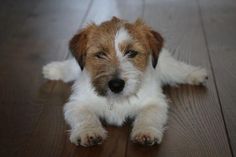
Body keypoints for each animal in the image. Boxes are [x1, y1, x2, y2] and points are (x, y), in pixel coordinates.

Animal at [42, 16, 206, 147]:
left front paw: (146, 132)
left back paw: (197, 74)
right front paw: (88, 132)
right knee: (72, 66)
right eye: (100, 54)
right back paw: (53, 69)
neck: (117, 100)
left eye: (131, 53)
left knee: (179, 69)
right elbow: (85, 116)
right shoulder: (77, 103)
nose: (116, 85)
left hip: (167, 66)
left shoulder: (154, 102)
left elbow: (148, 115)